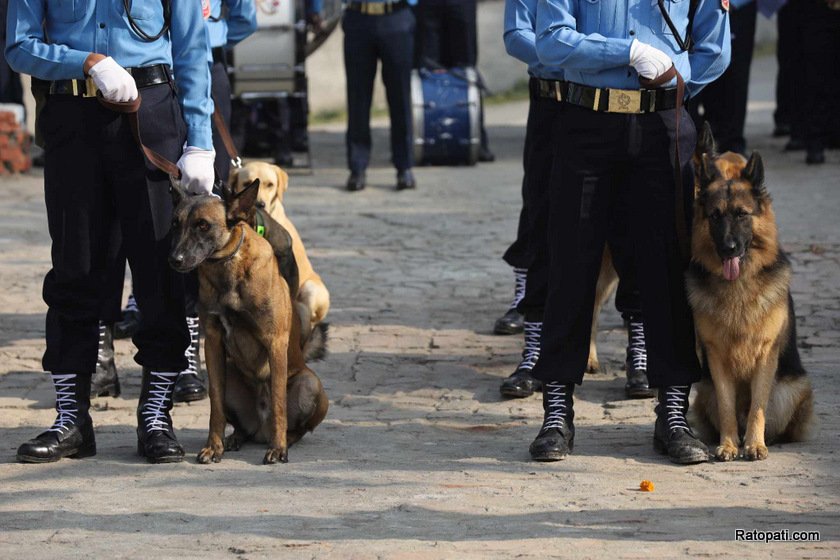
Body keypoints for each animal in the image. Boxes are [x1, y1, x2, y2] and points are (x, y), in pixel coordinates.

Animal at [168, 183, 328, 464]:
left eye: (203, 225)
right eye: (175, 223)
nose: (174, 259)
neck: (228, 267)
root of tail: (260, 429)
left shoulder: (275, 342)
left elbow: (278, 402)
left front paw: (278, 449)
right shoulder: (213, 343)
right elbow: (216, 405)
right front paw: (214, 446)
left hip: (311, 383)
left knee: (296, 427)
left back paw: (284, 439)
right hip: (231, 373)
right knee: (241, 426)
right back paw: (234, 438)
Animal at [688, 139, 812, 460]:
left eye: (742, 214)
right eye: (716, 216)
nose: (729, 248)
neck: (738, 285)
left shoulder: (765, 354)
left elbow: (758, 406)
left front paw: (754, 444)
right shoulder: (717, 358)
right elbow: (727, 406)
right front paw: (729, 444)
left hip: (792, 391)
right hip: (704, 393)